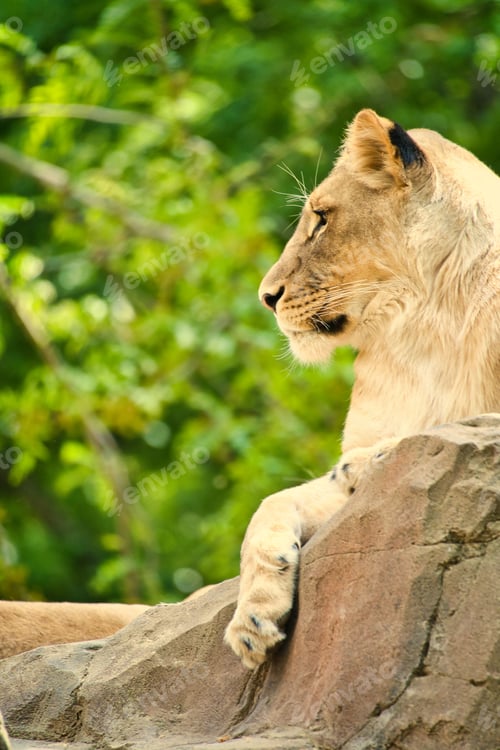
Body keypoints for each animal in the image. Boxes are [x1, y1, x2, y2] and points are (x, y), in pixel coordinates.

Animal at [224, 108, 500, 668]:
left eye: (322, 218)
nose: (266, 297)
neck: (426, 325)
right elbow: (271, 503)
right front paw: (252, 619)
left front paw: (372, 460)